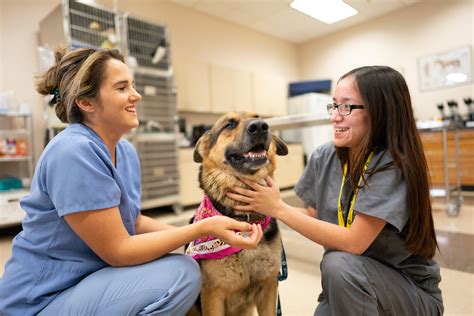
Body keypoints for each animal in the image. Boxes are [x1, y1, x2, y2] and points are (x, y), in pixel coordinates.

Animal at [186, 111, 288, 316]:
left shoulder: (269, 287)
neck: (247, 218)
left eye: (258, 117)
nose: (261, 126)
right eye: (230, 124)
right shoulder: (213, 295)